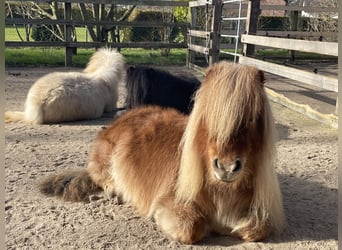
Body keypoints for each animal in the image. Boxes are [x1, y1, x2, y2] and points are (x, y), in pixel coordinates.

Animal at [38, 61, 284, 244]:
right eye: (207, 116)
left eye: (252, 118)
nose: (226, 168)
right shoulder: (173, 204)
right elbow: (191, 228)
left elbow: (259, 228)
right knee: (101, 176)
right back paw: (115, 190)